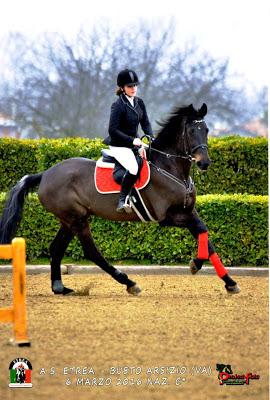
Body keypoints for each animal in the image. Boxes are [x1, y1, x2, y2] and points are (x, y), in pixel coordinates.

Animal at [0, 102, 240, 296]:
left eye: (206, 129)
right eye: (190, 130)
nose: (204, 163)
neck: (171, 167)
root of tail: (45, 174)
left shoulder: (189, 212)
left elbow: (205, 236)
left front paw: (229, 282)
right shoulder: (168, 217)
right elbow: (202, 232)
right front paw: (196, 264)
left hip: (69, 220)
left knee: (56, 249)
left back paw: (59, 287)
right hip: (77, 219)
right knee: (92, 252)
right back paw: (129, 283)